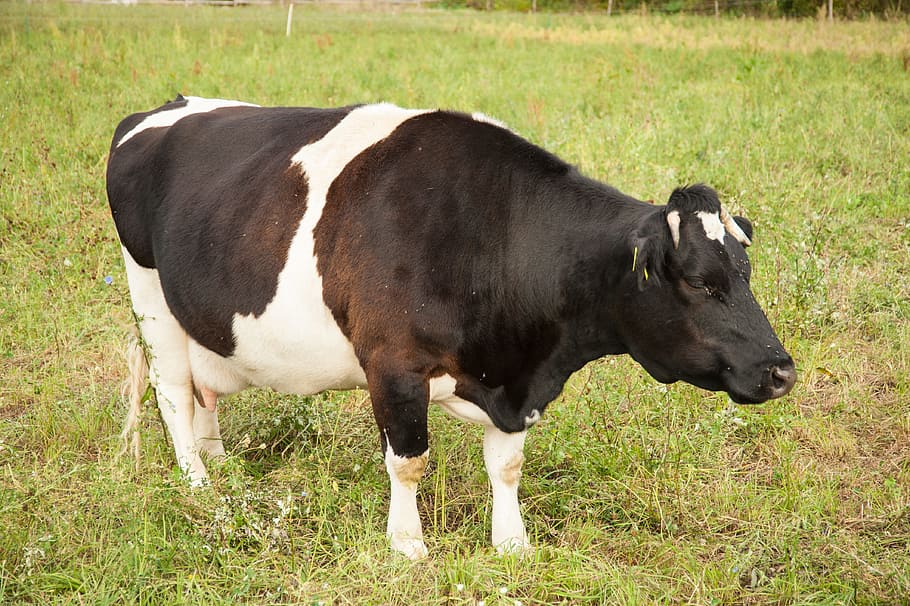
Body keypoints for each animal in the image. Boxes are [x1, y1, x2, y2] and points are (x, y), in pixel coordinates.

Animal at [107, 95, 796, 560]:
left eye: (747, 270)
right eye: (701, 282)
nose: (782, 371)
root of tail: (169, 106)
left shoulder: (516, 383)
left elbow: (508, 466)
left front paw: (512, 542)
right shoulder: (393, 364)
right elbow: (409, 461)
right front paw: (408, 546)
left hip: (204, 317)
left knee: (205, 391)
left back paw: (220, 466)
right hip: (150, 297)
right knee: (174, 392)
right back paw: (200, 489)